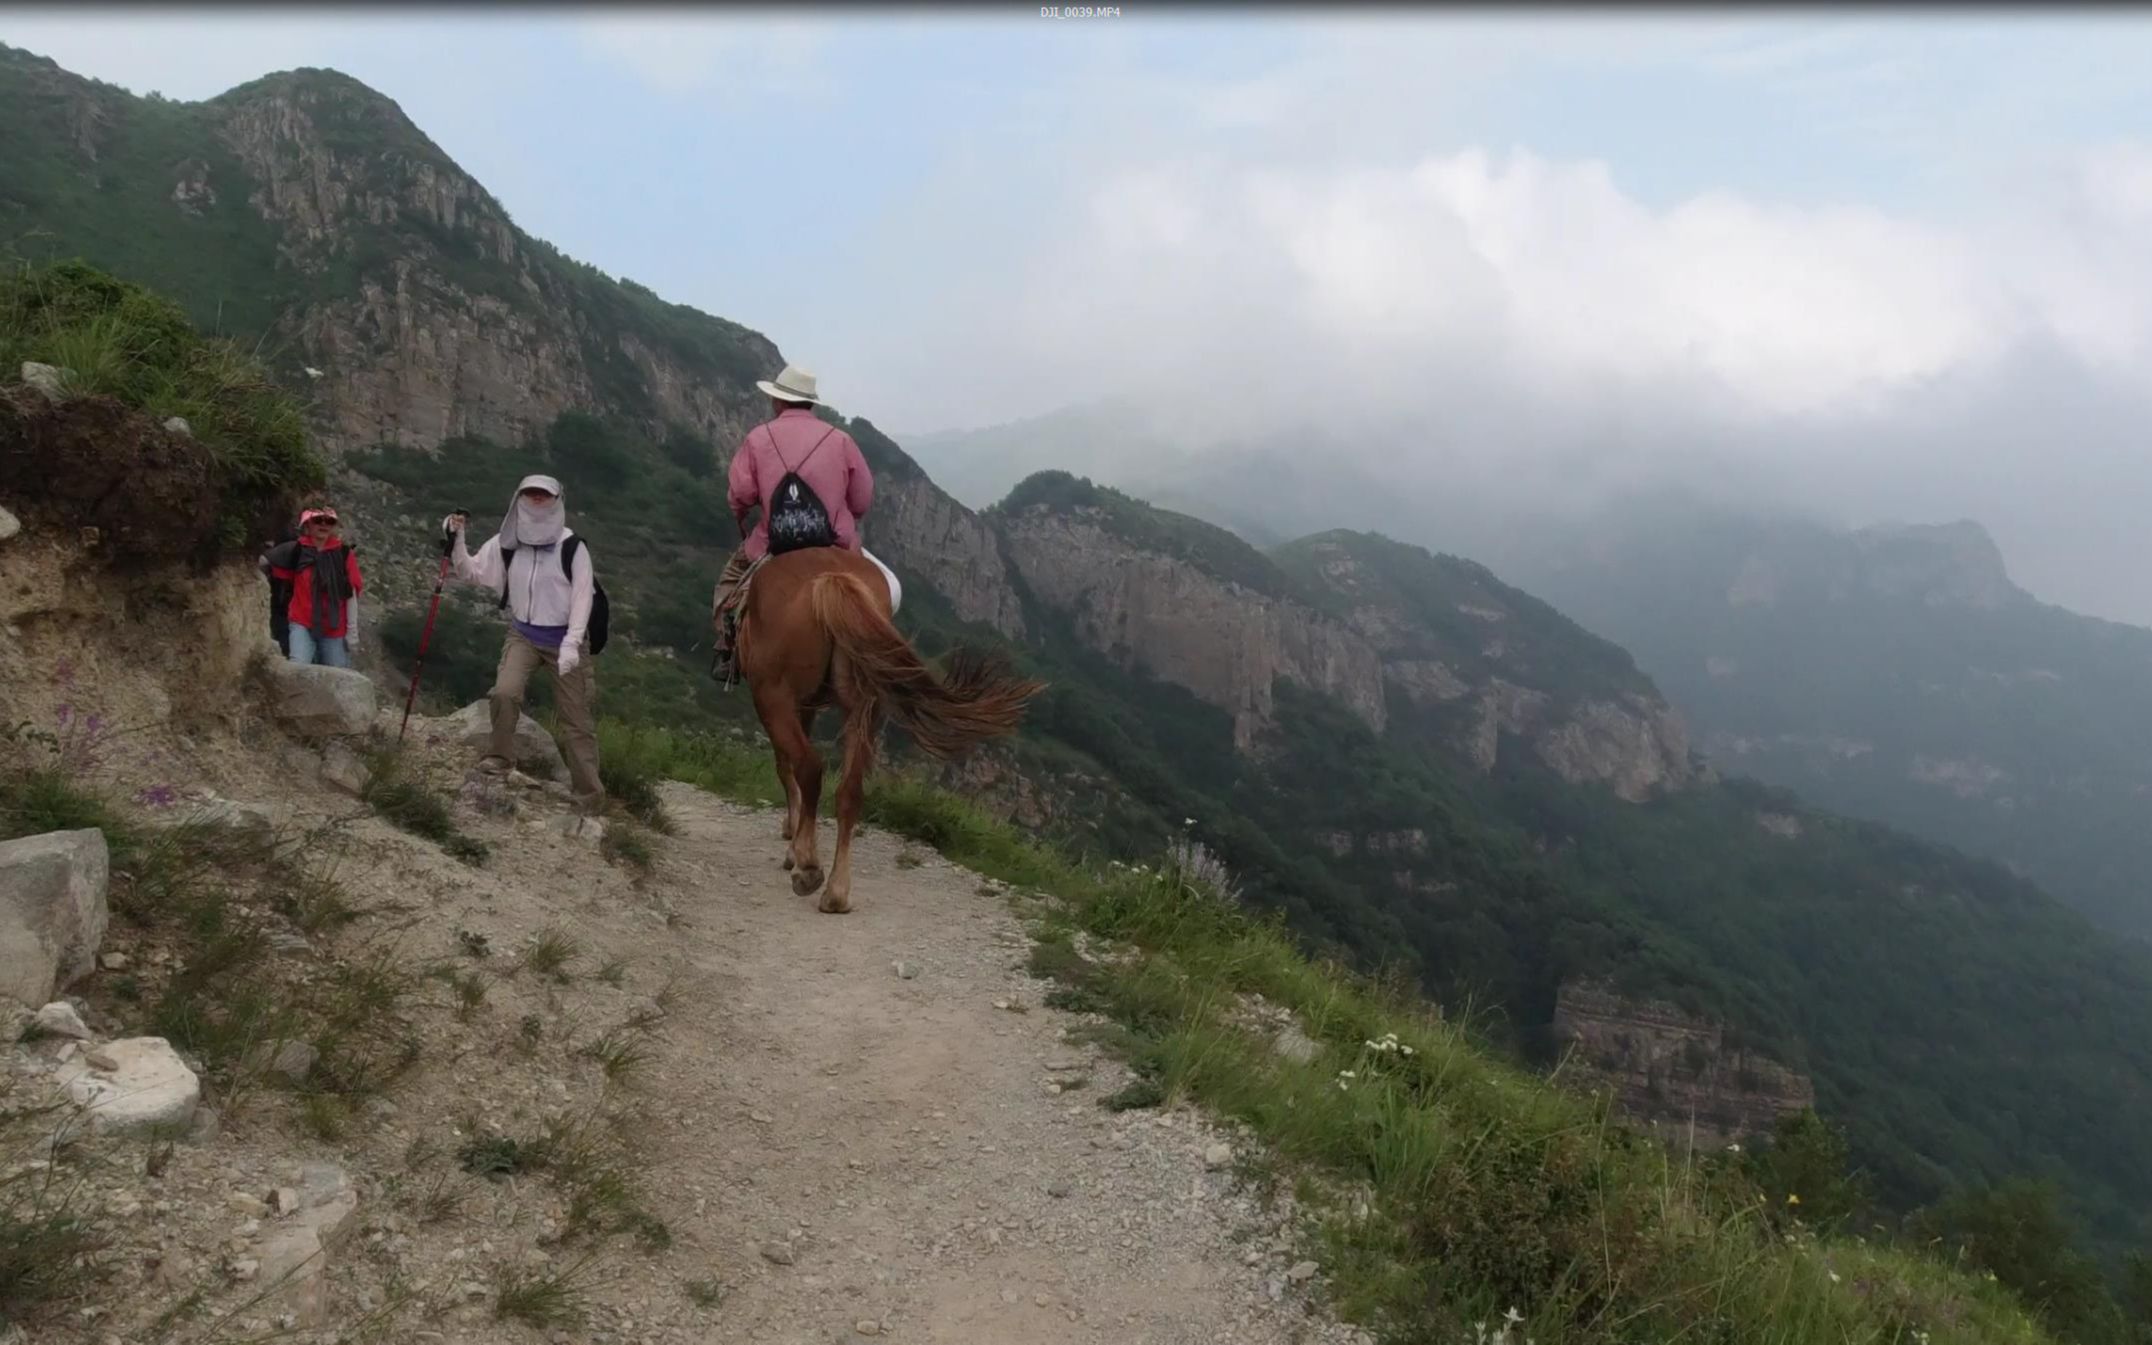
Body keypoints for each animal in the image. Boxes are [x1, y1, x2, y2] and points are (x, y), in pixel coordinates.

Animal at [735, 546, 1045, 912]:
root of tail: (832, 579)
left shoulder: (791, 702)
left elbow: (785, 768)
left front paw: (791, 845)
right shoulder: (807, 705)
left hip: (774, 696)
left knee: (808, 767)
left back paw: (809, 868)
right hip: (864, 703)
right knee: (850, 790)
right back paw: (837, 892)